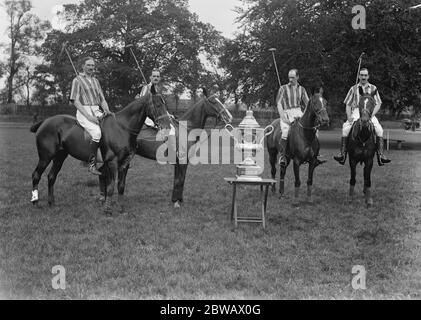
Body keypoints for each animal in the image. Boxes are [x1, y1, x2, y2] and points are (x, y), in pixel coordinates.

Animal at [29, 85, 171, 215]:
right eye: (158, 104)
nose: (167, 126)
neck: (122, 128)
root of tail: (44, 122)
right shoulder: (112, 162)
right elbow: (111, 187)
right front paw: (107, 209)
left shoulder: (125, 163)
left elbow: (121, 186)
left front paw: (121, 208)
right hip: (45, 156)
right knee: (36, 175)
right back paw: (35, 203)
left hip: (60, 156)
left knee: (51, 176)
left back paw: (51, 203)